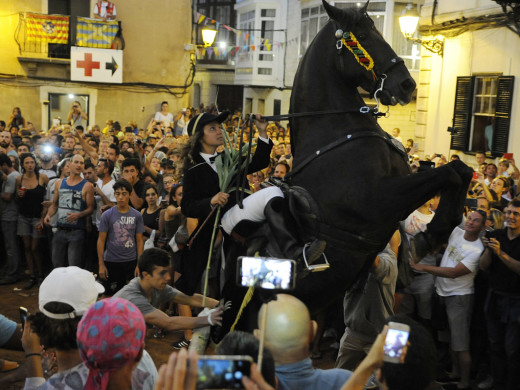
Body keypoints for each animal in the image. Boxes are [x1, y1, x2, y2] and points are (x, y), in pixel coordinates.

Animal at [215, 1, 472, 334]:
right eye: (362, 35)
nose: (407, 84)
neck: (338, 129)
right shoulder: (380, 200)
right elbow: (449, 173)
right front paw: (430, 235)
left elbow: (460, 170)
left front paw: (430, 235)